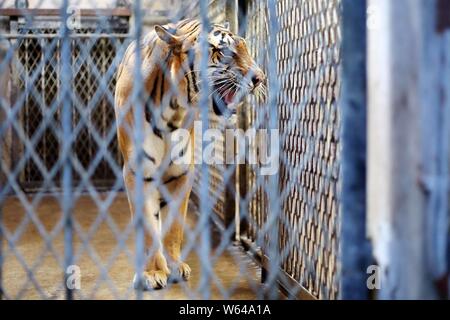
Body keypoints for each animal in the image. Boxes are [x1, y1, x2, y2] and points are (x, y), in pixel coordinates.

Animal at [114, 18, 266, 292]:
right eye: (224, 52)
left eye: (244, 47)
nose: (260, 78)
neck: (172, 109)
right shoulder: (138, 173)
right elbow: (149, 227)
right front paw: (153, 272)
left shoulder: (181, 173)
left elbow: (173, 226)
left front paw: (174, 265)